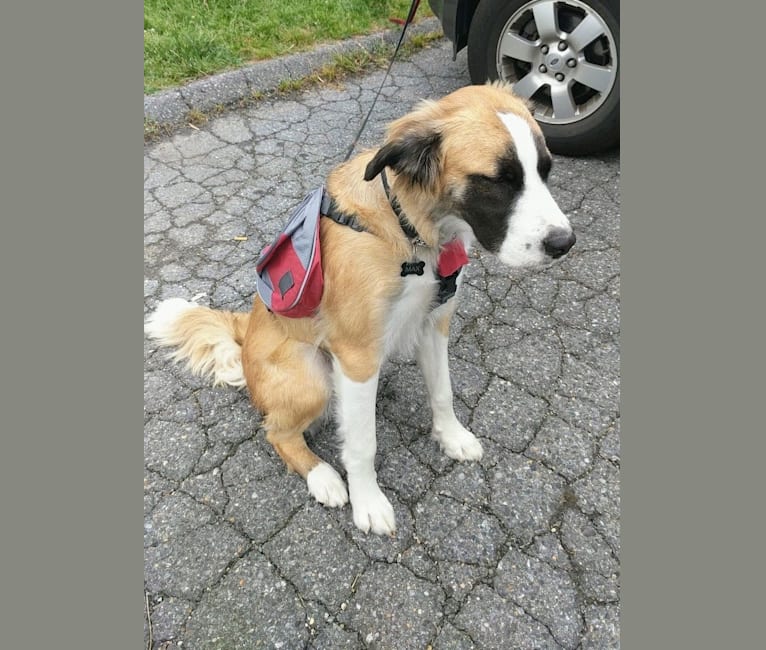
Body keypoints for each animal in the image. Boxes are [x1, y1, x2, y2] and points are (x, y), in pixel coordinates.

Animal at [144, 81, 576, 536]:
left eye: (545, 171)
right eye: (497, 180)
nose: (564, 243)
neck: (409, 230)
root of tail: (244, 339)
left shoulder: (433, 323)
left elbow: (442, 391)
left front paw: (451, 436)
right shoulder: (356, 354)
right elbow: (363, 443)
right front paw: (368, 501)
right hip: (313, 380)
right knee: (278, 432)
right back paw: (322, 476)